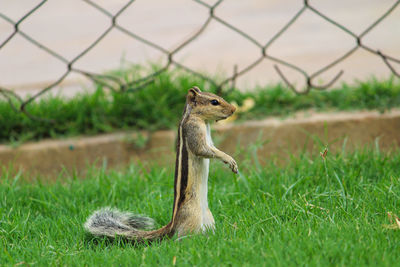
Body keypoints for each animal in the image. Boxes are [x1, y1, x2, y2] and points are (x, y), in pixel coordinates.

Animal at [83, 87, 236, 243]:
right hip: (193, 216)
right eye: (214, 102)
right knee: (180, 239)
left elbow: (212, 148)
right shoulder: (193, 129)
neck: (200, 119)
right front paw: (228, 159)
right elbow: (202, 150)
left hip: (209, 218)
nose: (234, 109)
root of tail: (173, 224)